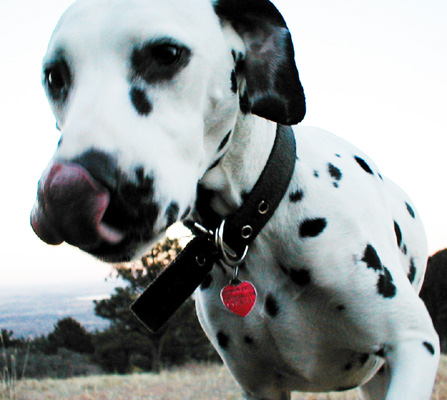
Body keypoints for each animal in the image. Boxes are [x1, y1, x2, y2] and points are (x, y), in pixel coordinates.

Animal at [30, 0, 440, 398]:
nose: (65, 198)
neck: (253, 223)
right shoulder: (259, 387)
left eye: (167, 53)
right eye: (54, 77)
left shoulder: (414, 344)